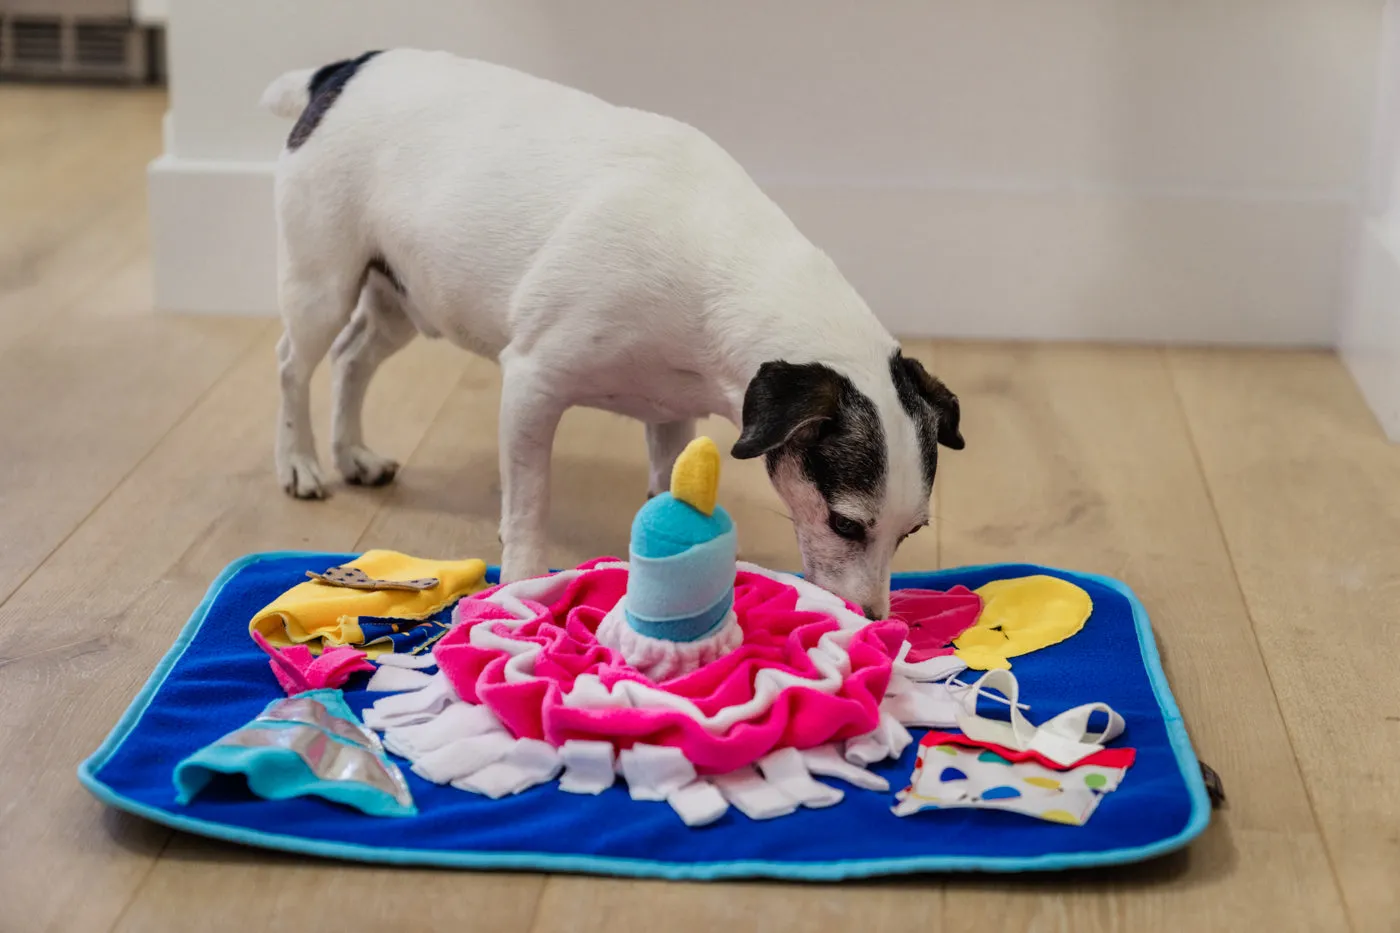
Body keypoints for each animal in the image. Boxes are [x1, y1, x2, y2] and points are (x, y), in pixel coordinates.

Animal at [260, 49, 963, 616]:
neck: (723, 269)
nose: (874, 620)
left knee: (354, 358)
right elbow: (529, 504)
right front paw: (520, 581)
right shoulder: (532, 385)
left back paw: (352, 453)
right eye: (846, 526)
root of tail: (343, 70)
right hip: (322, 284)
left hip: (402, 301)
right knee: (295, 364)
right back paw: (300, 462)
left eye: (910, 534)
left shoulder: (674, 420)